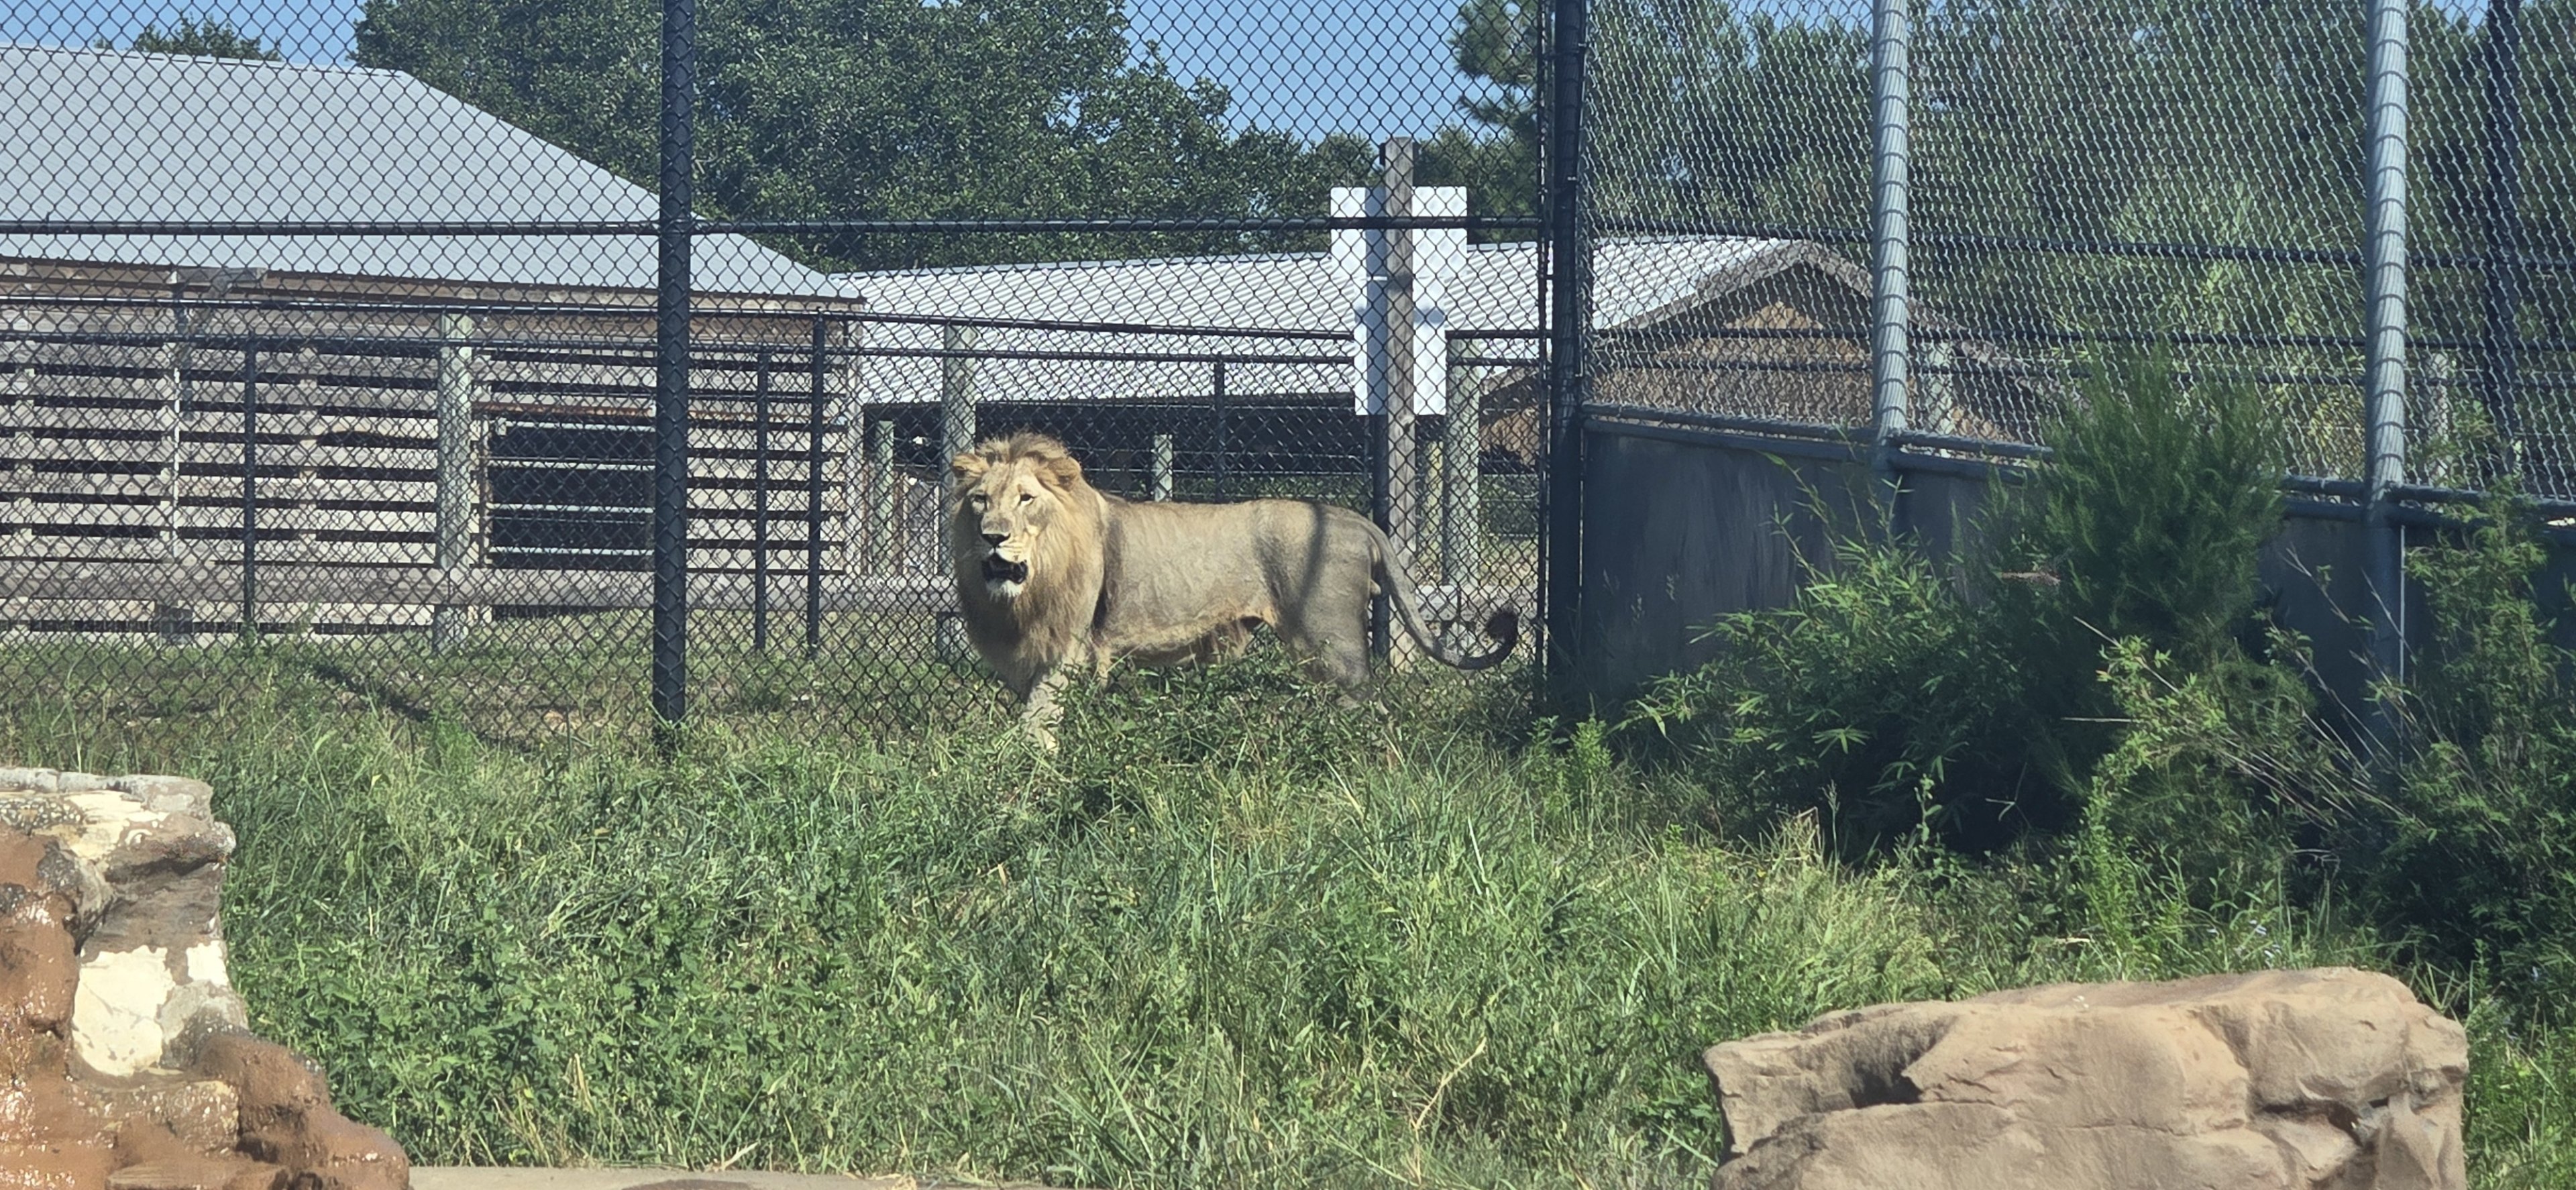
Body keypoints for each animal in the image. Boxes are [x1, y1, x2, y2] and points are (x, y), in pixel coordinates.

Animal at [947, 431, 1517, 746]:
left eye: (1026, 499)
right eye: (980, 500)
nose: (993, 537)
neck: (1028, 587)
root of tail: (1356, 520)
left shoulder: (1067, 652)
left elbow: (1035, 728)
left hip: (1333, 646)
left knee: (1372, 712)